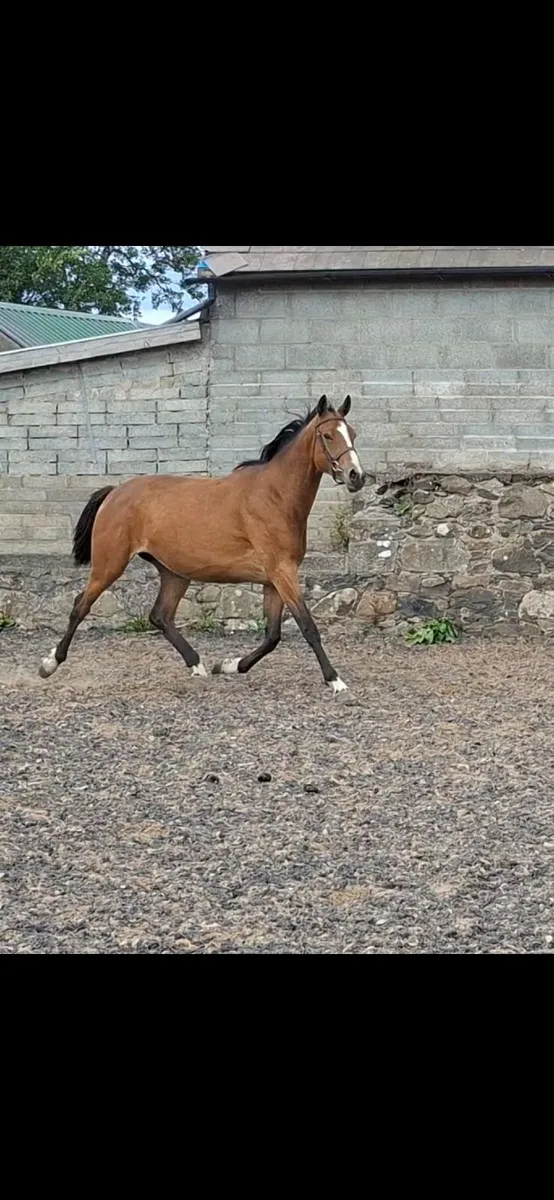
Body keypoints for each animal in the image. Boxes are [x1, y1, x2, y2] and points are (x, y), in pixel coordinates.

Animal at [38, 394, 366, 692]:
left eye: (352, 434)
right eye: (327, 435)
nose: (357, 476)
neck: (274, 496)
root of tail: (114, 492)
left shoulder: (273, 580)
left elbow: (272, 635)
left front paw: (230, 665)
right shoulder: (282, 573)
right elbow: (307, 626)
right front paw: (335, 681)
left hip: (174, 572)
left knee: (160, 616)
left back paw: (198, 664)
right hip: (110, 564)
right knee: (80, 606)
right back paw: (49, 664)